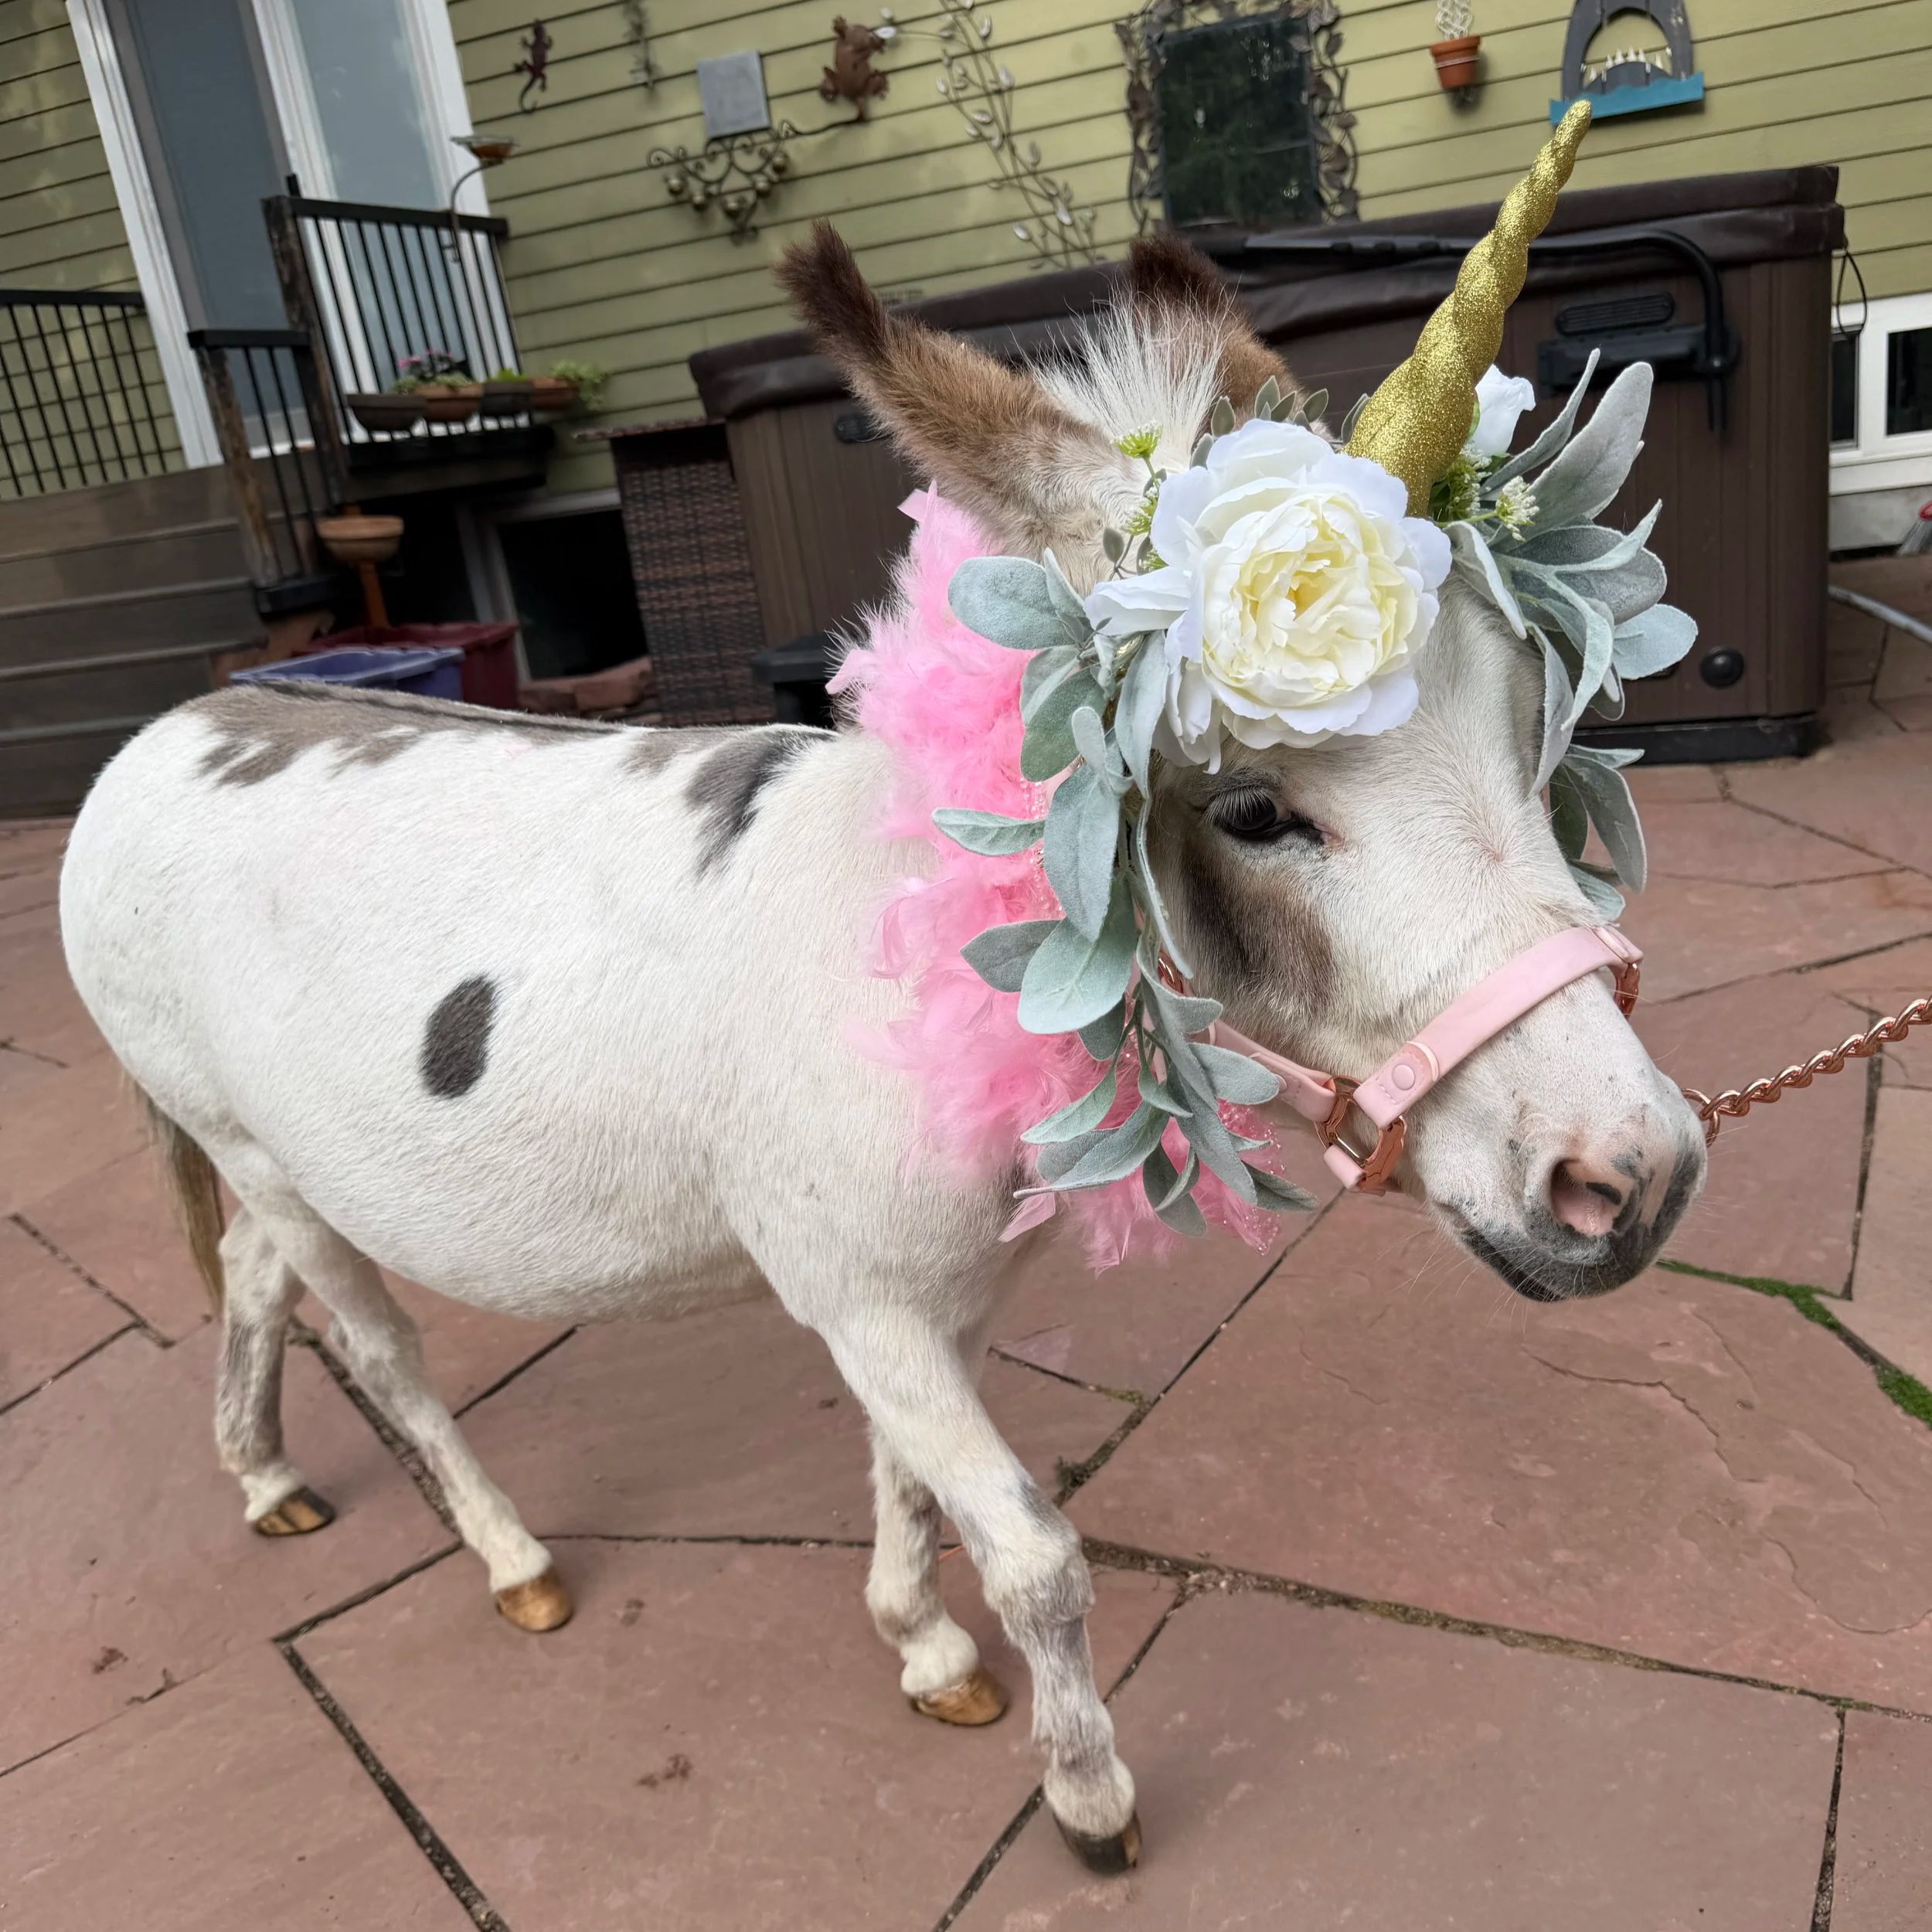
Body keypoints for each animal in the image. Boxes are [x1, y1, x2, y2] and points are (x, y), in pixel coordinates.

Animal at [57, 228, 1706, 1870]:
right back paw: (509, 1556)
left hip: (263, 1154)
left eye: (1538, 734)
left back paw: (265, 1475)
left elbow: (912, 1485)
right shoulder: (860, 1296)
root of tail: (161, 732)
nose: (1638, 1175)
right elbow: (1034, 1554)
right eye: (1249, 809)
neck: (940, 946)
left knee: (253, 1278)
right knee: (382, 1352)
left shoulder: (933, 1302)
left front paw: (922, 1647)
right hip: (258, 1149)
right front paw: (1087, 1800)